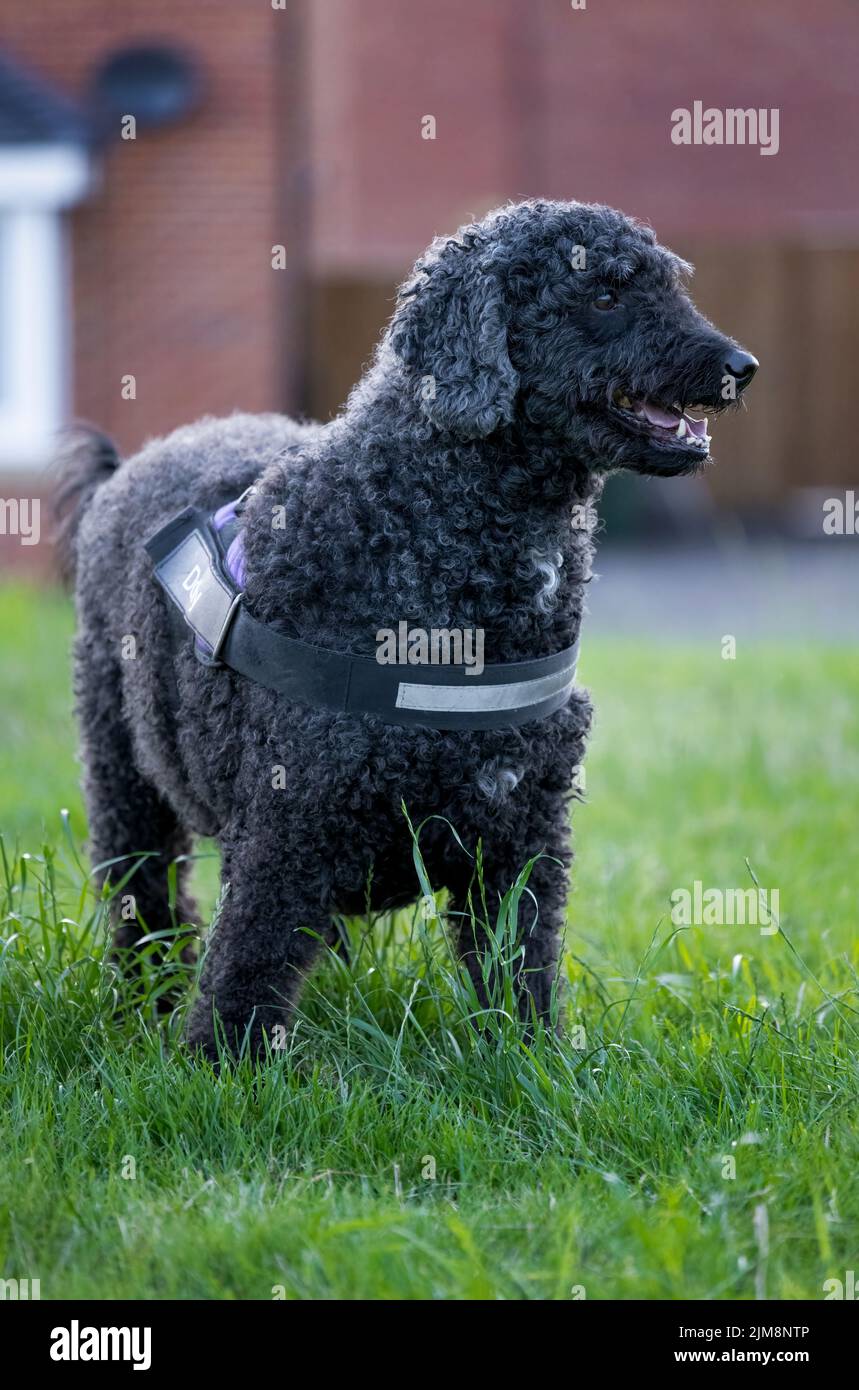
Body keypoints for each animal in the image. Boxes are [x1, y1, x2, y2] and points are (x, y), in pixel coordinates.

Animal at [55, 201, 756, 1056]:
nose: (742, 365)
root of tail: (128, 468)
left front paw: (532, 1060)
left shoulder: (520, 835)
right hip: (122, 775)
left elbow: (519, 965)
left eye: (668, 286)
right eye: (603, 296)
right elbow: (247, 962)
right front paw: (221, 1070)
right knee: (144, 899)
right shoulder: (289, 828)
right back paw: (143, 1005)